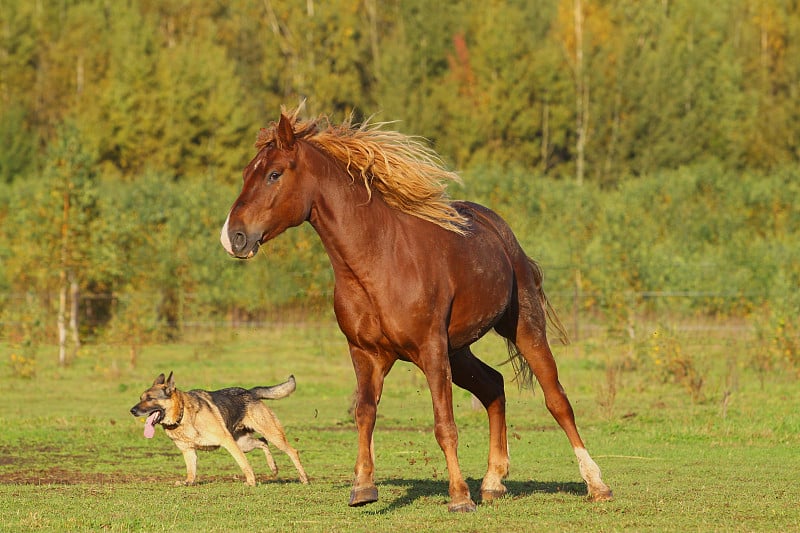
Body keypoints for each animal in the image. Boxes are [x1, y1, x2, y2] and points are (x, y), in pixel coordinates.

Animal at [130, 372, 308, 484]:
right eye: (140, 398)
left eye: (150, 399)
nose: (132, 411)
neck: (183, 414)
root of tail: (250, 392)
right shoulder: (188, 451)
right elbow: (191, 470)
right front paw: (188, 482)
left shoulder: (227, 442)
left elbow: (244, 464)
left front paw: (251, 482)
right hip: (244, 444)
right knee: (263, 442)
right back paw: (274, 467)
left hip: (271, 436)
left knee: (292, 451)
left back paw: (304, 478)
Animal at [219, 108, 612, 512]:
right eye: (247, 173)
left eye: (274, 174)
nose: (233, 237)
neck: (378, 260)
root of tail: (502, 233)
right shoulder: (366, 354)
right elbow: (364, 413)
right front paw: (363, 488)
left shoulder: (430, 348)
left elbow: (444, 425)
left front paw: (459, 497)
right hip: (459, 351)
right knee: (494, 387)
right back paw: (493, 481)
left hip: (520, 329)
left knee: (557, 399)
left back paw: (595, 483)